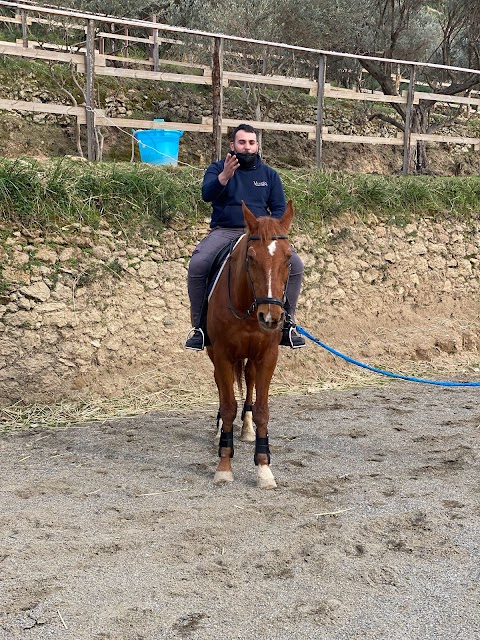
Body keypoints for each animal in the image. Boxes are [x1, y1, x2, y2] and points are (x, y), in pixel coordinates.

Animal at [205, 201, 294, 490]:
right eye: (252, 257)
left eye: (288, 257)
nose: (271, 317)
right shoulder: (222, 354)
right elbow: (228, 405)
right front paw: (224, 466)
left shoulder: (268, 356)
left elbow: (263, 411)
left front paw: (264, 468)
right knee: (222, 386)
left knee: (249, 379)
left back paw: (246, 428)